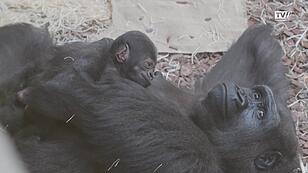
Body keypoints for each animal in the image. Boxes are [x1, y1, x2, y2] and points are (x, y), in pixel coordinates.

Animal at [19, 24, 300, 173]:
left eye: (260, 114)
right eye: (256, 96)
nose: (241, 95)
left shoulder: (196, 161)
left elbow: (90, 95)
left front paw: (73, 84)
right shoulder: (205, 93)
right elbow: (256, 50)